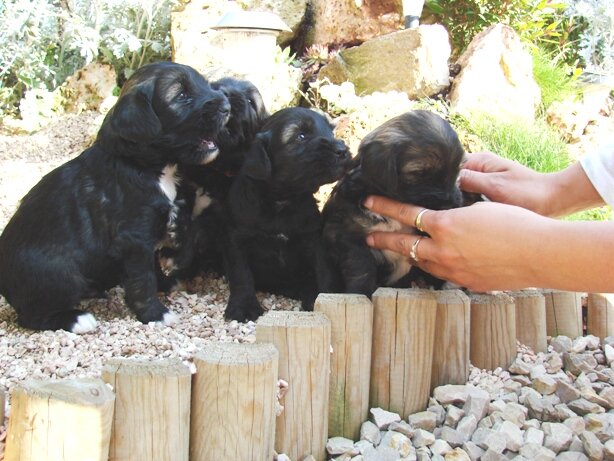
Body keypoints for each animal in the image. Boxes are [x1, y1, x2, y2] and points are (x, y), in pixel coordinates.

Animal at [0, 63, 231, 332]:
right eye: (181, 95)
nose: (226, 107)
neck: (146, 166)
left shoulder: (146, 237)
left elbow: (152, 266)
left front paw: (166, 285)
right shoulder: (134, 237)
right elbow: (142, 279)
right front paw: (156, 314)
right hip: (59, 273)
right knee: (31, 316)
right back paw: (77, 319)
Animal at [161, 77, 272, 274]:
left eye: (251, 101)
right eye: (214, 85)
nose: (223, 92)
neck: (216, 168)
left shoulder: (221, 221)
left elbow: (197, 230)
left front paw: (176, 261)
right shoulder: (187, 181)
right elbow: (183, 200)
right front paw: (178, 225)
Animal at [224, 107, 354, 324]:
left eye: (331, 132)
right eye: (300, 136)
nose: (342, 150)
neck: (283, 201)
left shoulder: (313, 239)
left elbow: (324, 271)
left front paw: (328, 297)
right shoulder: (236, 239)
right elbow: (241, 274)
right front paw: (243, 306)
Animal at [324, 109, 464, 294]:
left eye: (456, 171)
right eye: (418, 173)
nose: (449, 205)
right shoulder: (347, 233)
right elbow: (361, 267)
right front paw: (361, 293)